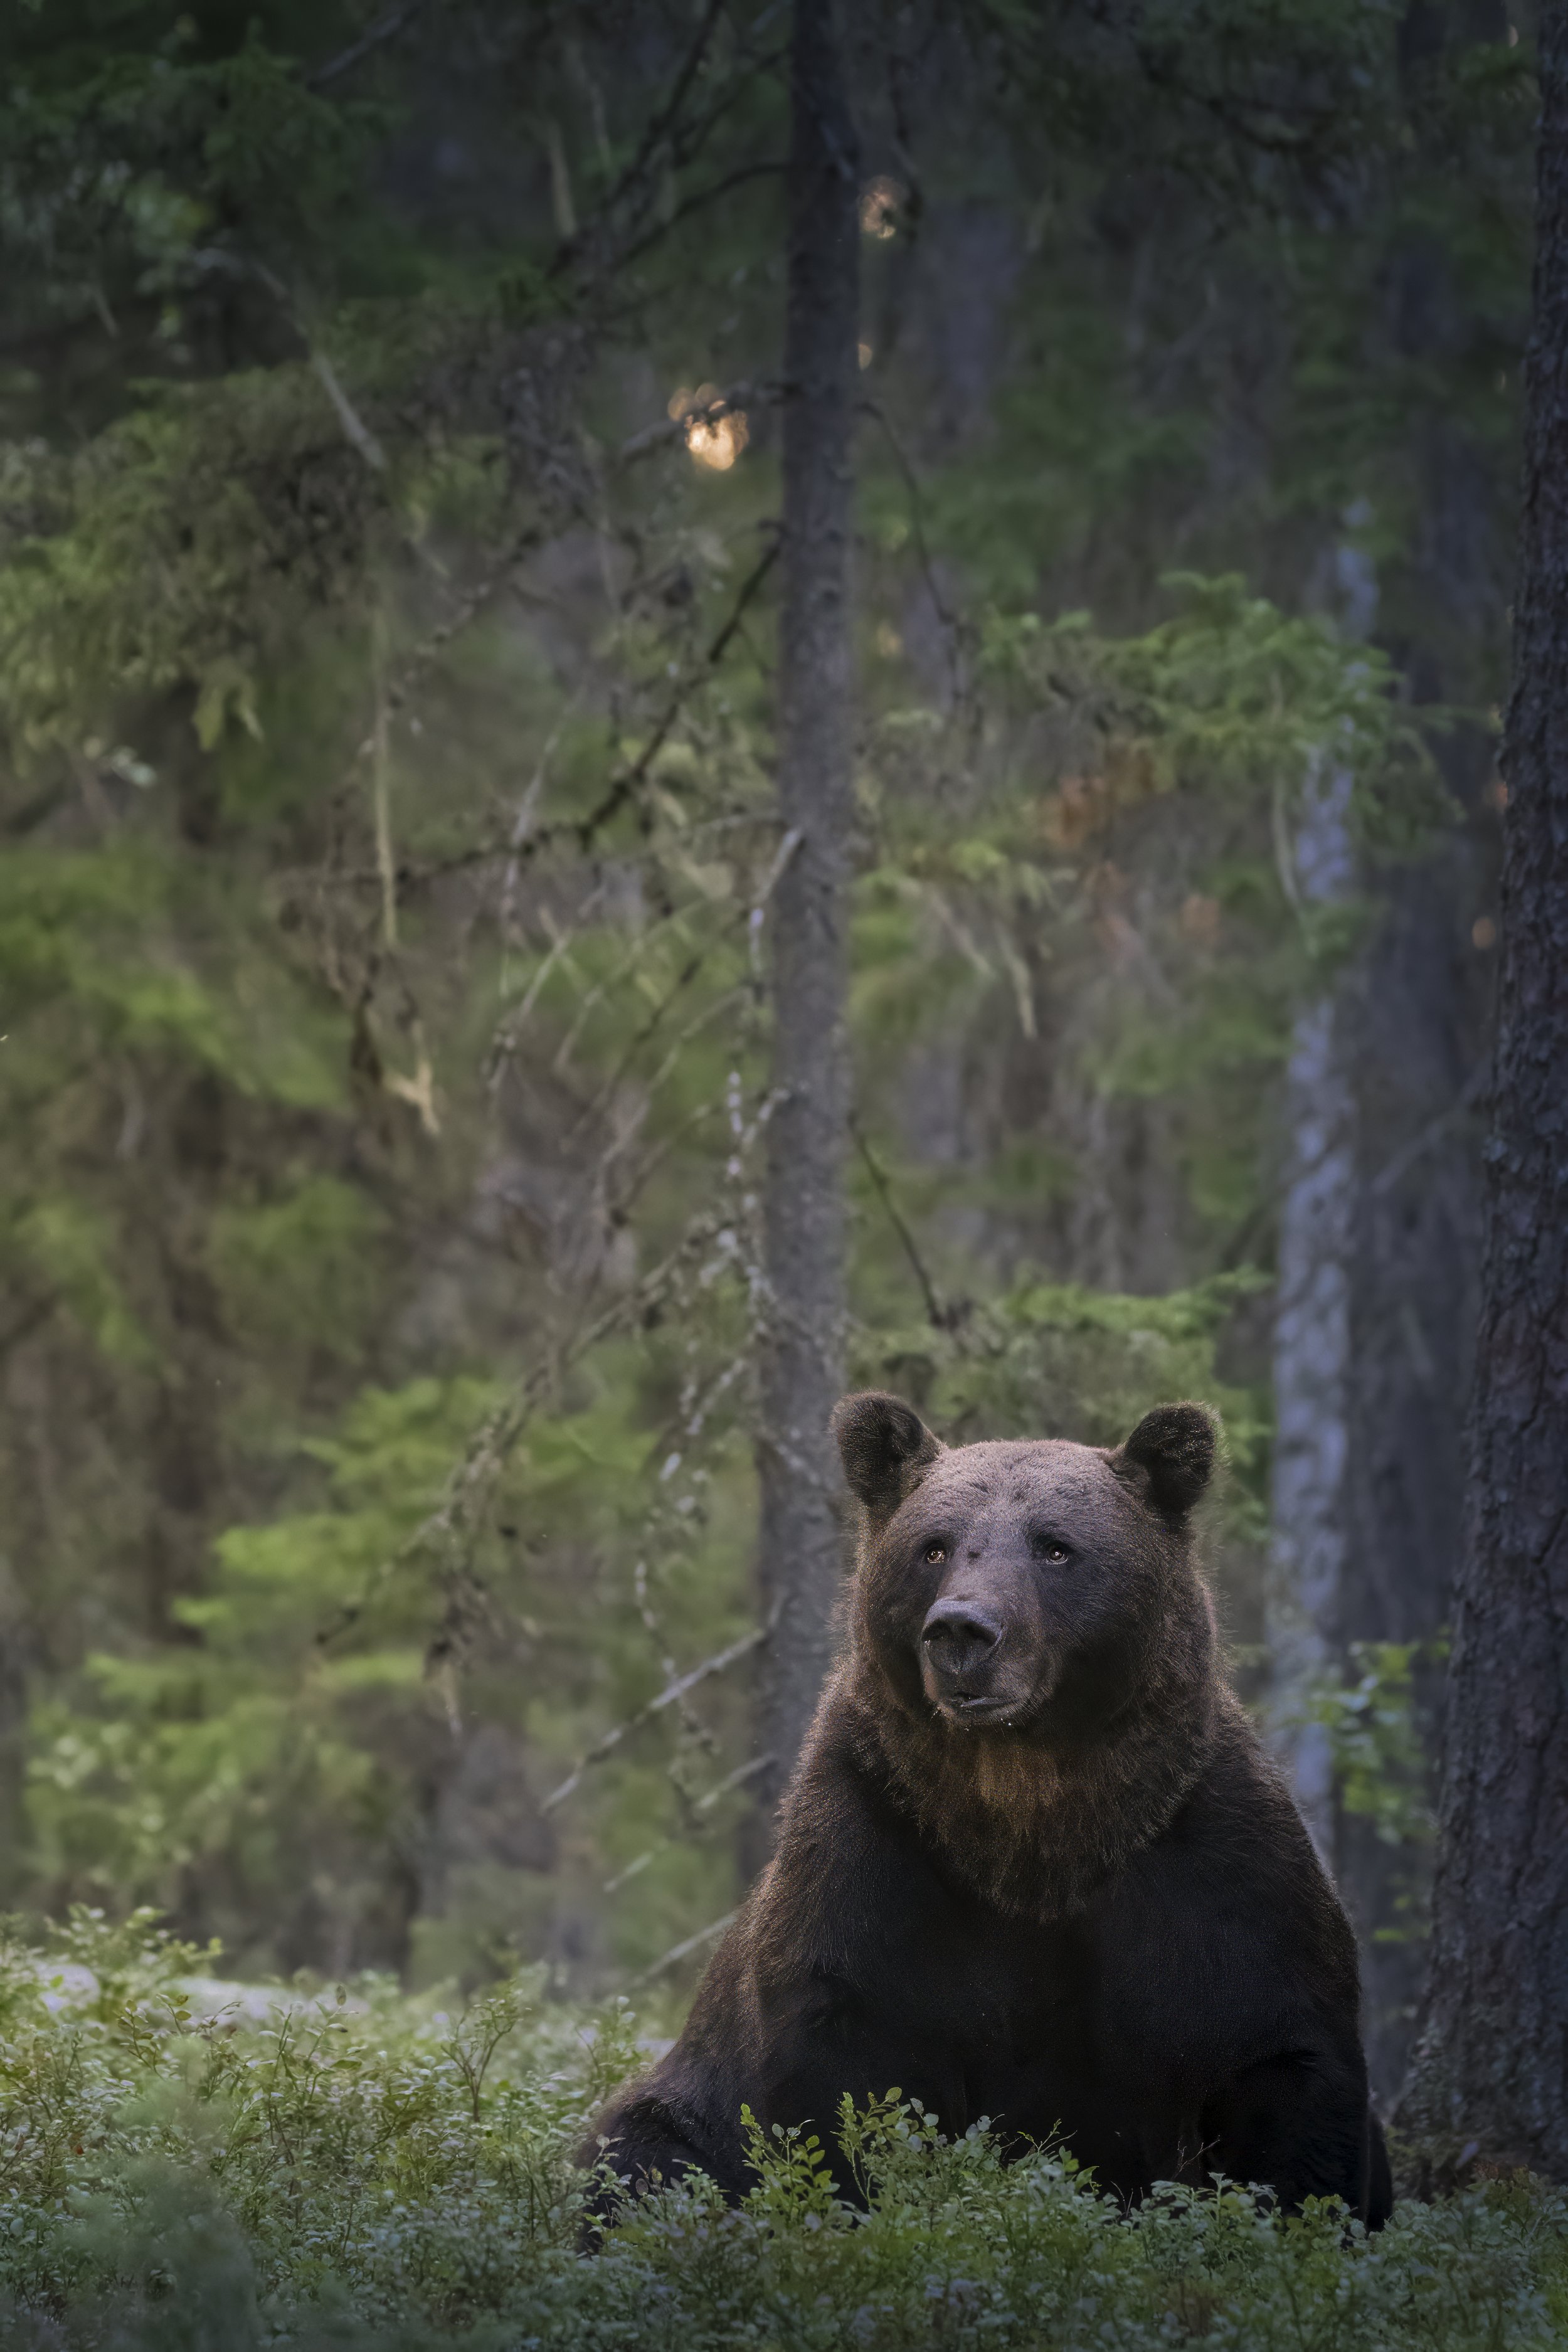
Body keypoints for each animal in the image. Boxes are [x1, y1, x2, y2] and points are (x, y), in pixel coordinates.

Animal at [584, 1394, 1391, 2225]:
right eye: (934, 1547)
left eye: (1055, 1547)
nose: (962, 1630)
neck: (1030, 1813)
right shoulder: (873, 1851)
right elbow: (841, 2088)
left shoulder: (1209, 1862)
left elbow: (1280, 2064)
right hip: (680, 2110)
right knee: (637, 2157)